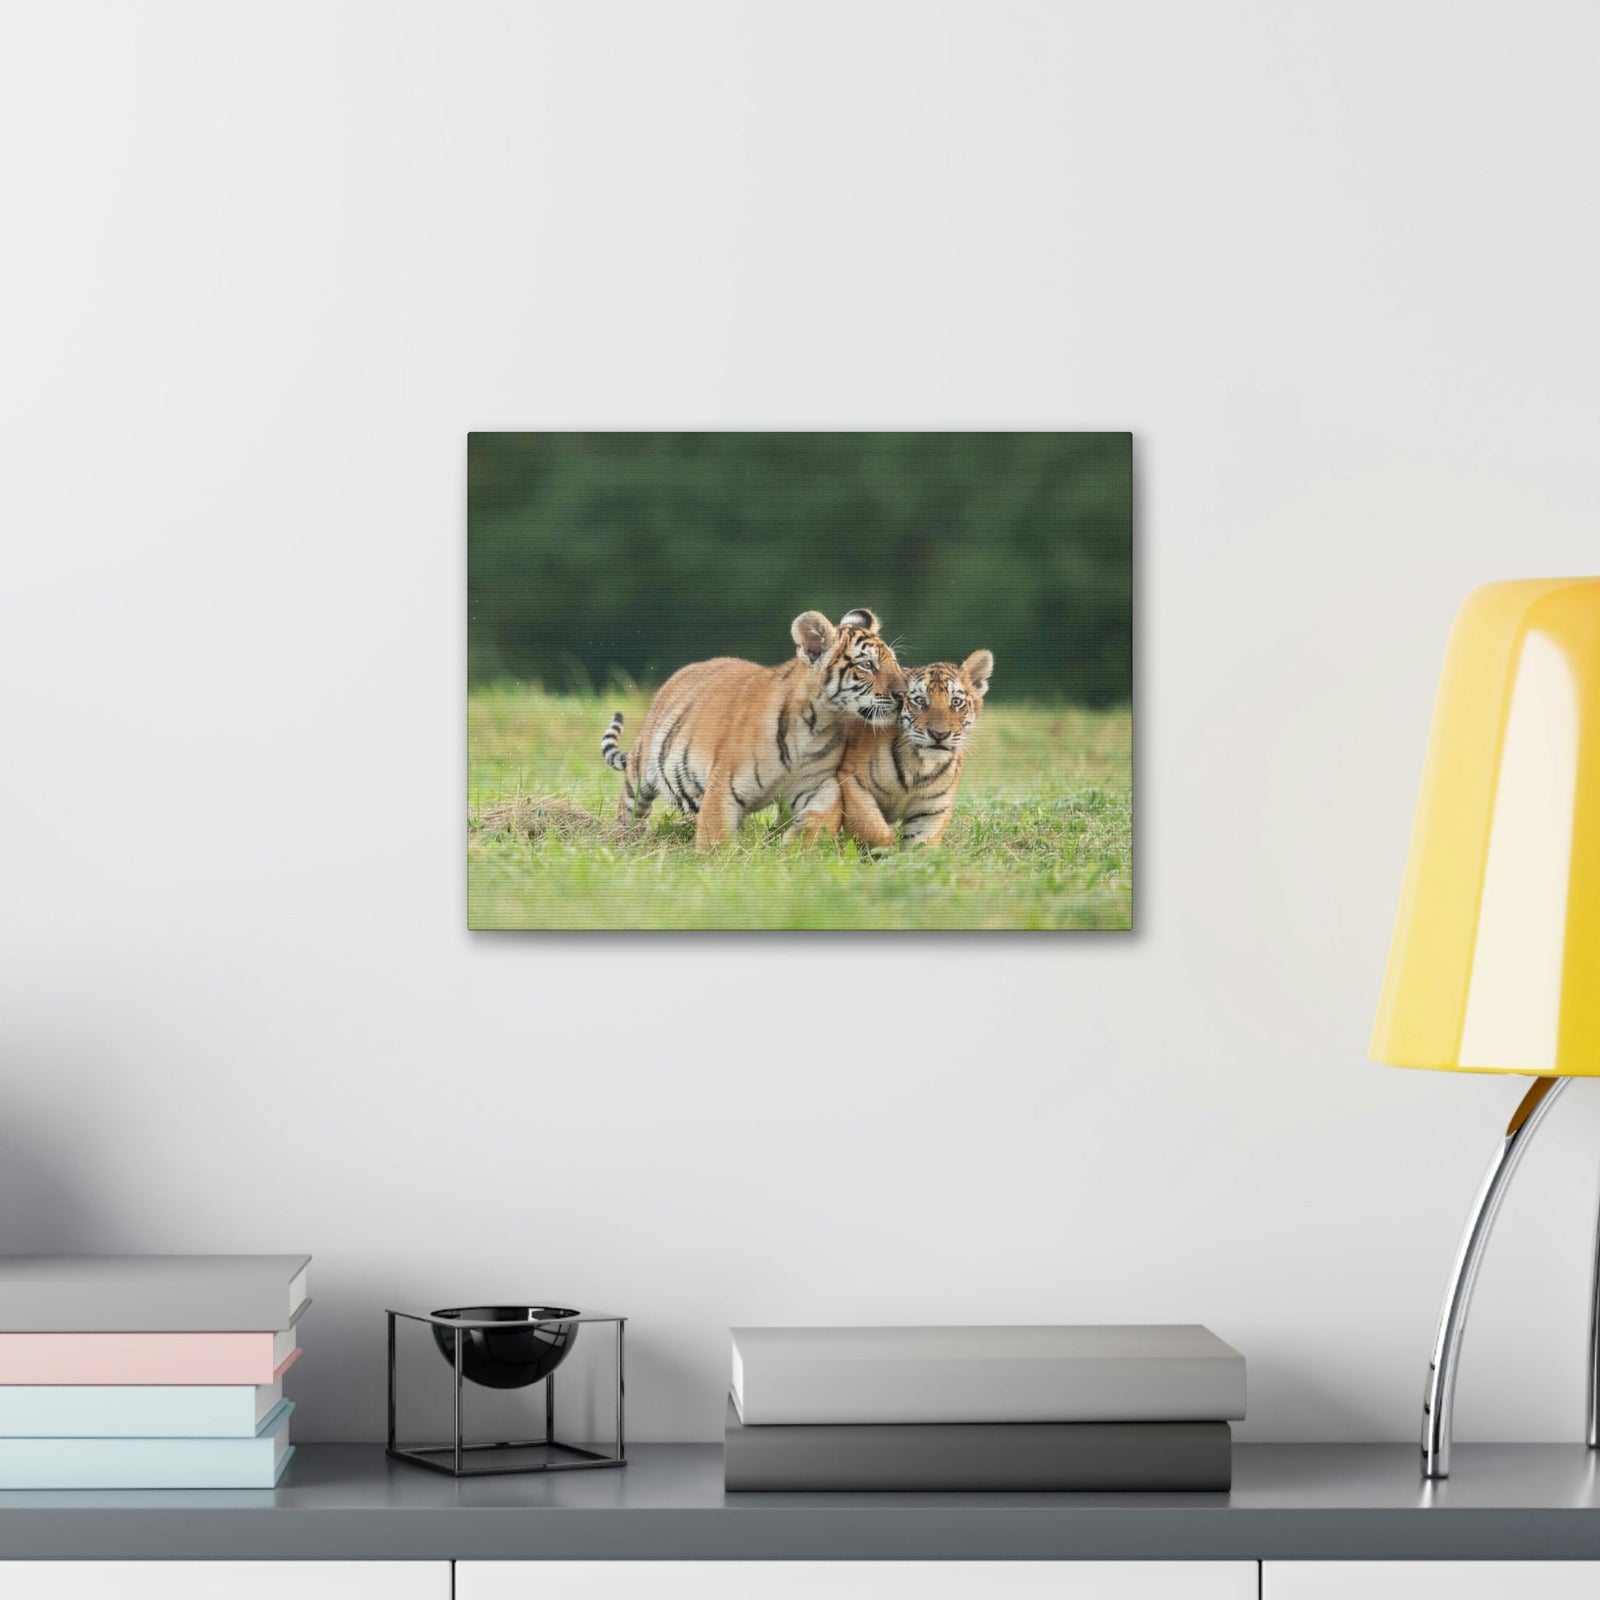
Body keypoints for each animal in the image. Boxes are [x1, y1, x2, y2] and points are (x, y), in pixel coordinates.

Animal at [600, 608, 907, 849]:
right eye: (867, 665)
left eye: (895, 662)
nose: (903, 693)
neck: (817, 724)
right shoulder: (723, 786)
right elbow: (716, 839)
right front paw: (719, 865)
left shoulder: (817, 782)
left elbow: (826, 813)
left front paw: (801, 845)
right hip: (640, 775)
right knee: (630, 810)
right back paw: (624, 840)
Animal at [838, 650, 994, 847]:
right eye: (920, 701)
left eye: (956, 702)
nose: (939, 734)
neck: (919, 765)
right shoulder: (852, 781)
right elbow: (872, 828)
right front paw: (886, 848)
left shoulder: (932, 810)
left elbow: (921, 846)